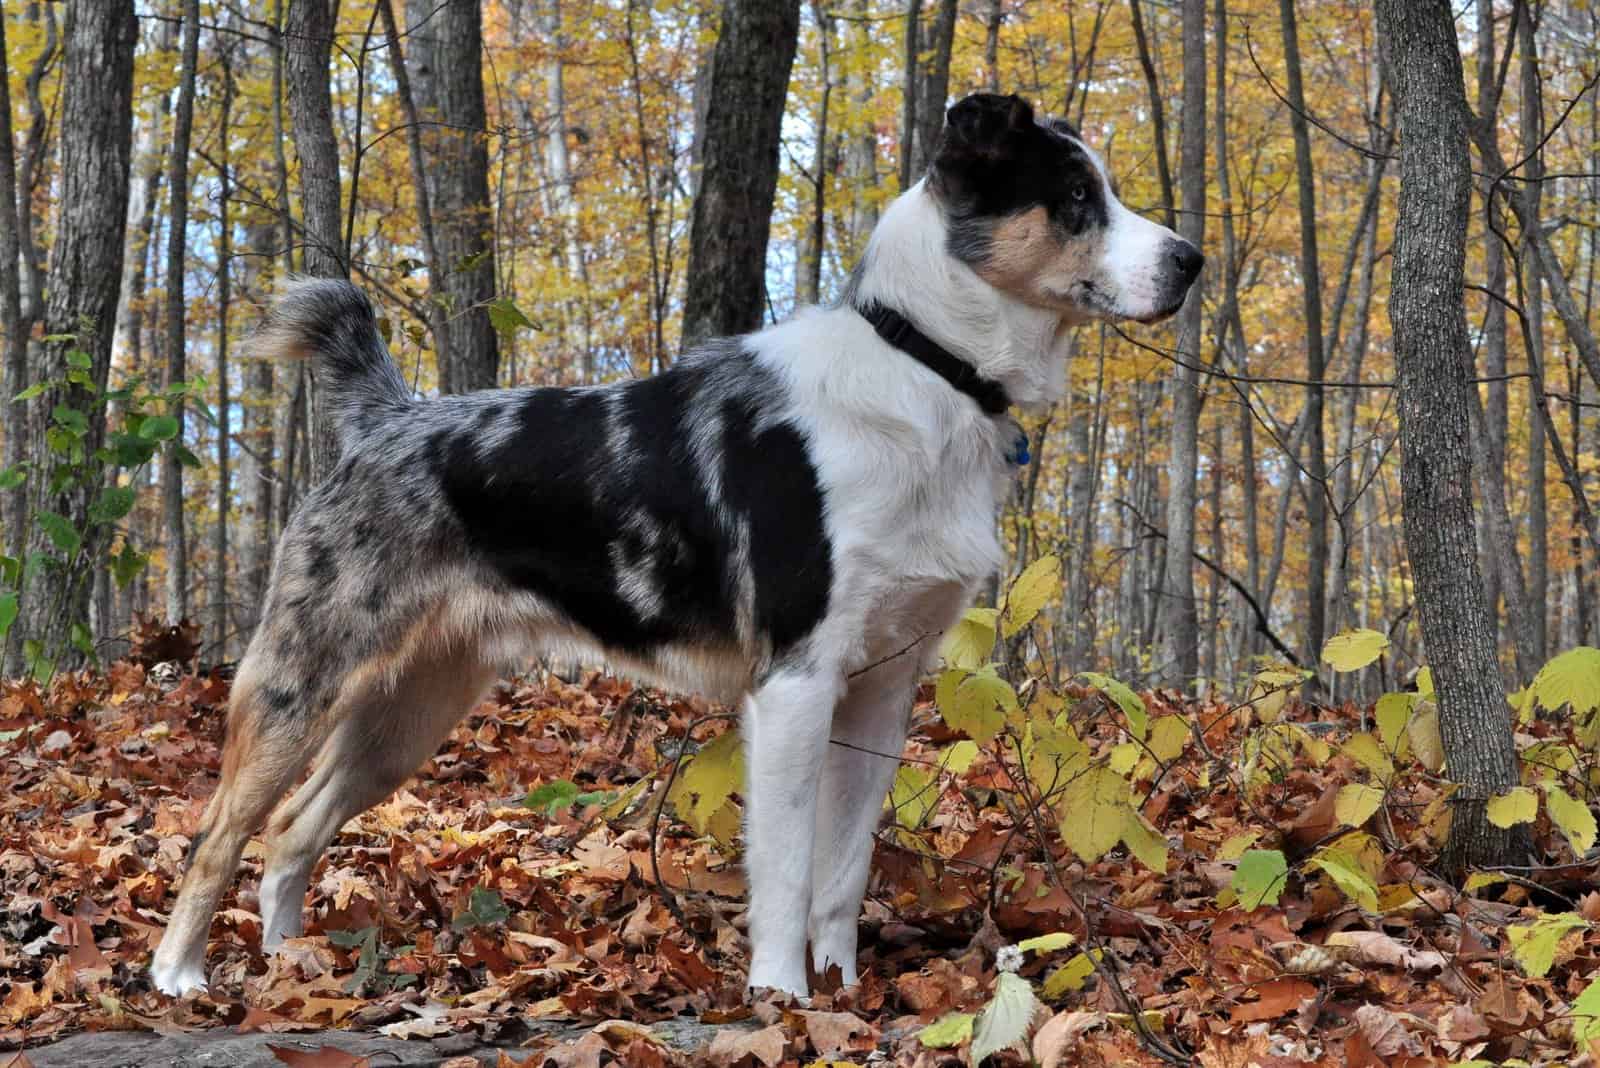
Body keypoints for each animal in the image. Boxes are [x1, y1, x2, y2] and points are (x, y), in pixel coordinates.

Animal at [150, 93, 1203, 1004]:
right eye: (1076, 200)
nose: (1193, 261)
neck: (924, 365)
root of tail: (384, 418)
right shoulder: (795, 684)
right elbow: (785, 870)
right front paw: (784, 999)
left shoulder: (880, 688)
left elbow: (842, 871)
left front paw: (843, 994)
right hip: (302, 681)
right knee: (217, 835)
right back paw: (180, 977)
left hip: (413, 708)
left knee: (293, 832)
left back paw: (295, 968)